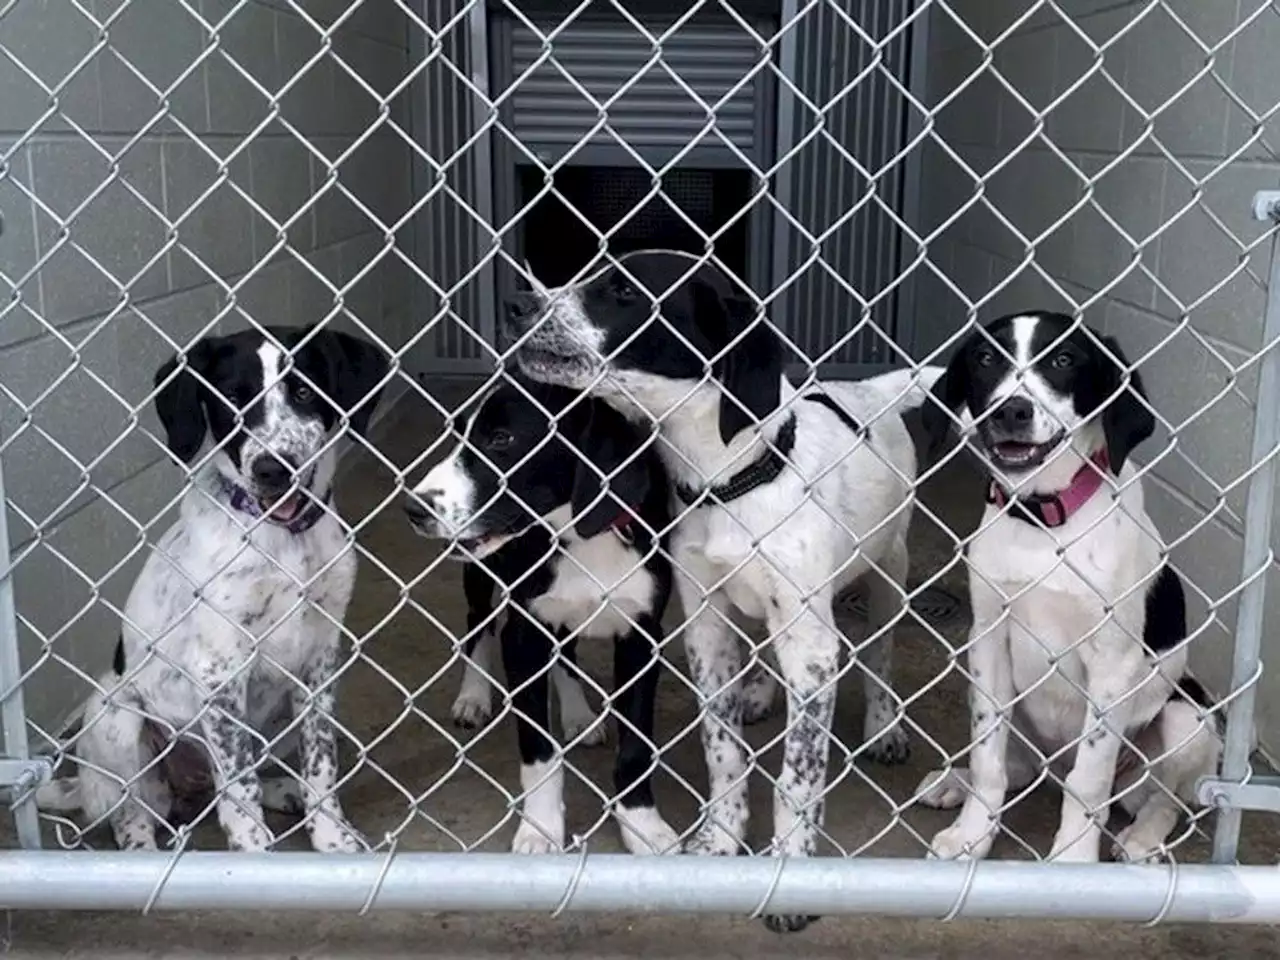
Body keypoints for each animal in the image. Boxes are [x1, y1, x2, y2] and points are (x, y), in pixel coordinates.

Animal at [37, 327, 386, 855]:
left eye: (304, 392)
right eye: (232, 400)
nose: (273, 469)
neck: (283, 539)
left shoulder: (320, 659)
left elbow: (320, 763)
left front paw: (331, 838)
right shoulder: (220, 670)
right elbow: (238, 782)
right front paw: (254, 850)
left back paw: (285, 791)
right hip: (115, 717)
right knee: (134, 814)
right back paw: (144, 848)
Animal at [407, 373, 680, 855]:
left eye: (501, 439)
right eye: (458, 435)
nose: (414, 508)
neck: (579, 537)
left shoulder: (642, 635)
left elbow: (636, 747)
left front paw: (643, 825)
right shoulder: (525, 633)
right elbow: (538, 751)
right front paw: (540, 830)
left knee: (565, 651)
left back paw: (578, 715)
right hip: (479, 577)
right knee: (477, 623)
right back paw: (473, 696)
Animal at [921, 313, 1218, 865]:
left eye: (1064, 359)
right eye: (986, 357)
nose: (1011, 410)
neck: (1042, 521)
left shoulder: (1113, 663)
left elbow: (1090, 779)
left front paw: (1075, 860)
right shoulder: (988, 640)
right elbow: (989, 755)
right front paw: (972, 834)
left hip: (1186, 718)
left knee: (1165, 800)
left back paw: (1142, 838)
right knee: (1014, 767)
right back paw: (955, 781)